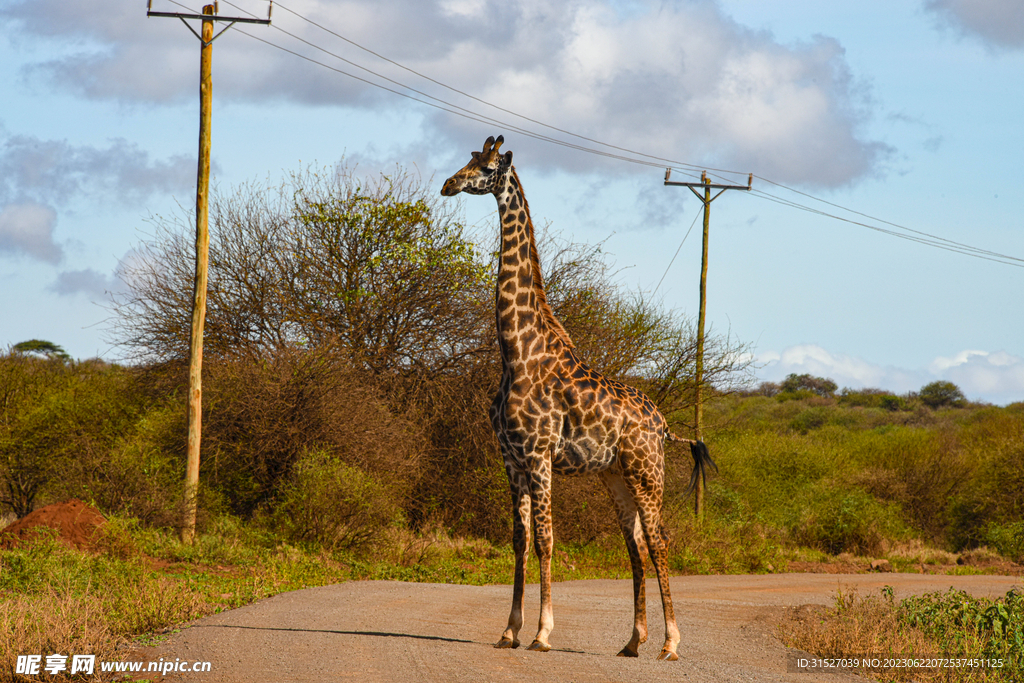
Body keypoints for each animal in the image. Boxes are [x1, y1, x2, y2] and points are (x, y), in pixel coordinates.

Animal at [442, 135, 720, 663]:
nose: (447, 184)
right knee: (635, 544)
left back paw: (671, 643)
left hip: (647, 471)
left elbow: (547, 541)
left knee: (659, 540)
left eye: (485, 167)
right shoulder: (510, 459)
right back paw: (633, 641)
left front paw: (542, 633)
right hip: (614, 475)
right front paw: (509, 630)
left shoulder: (539, 455)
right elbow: (519, 540)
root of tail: (663, 424)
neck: (517, 351)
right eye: (467, 159)